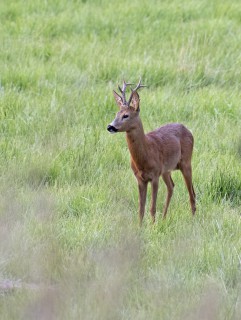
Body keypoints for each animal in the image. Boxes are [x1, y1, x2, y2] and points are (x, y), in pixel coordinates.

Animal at [107, 79, 196, 225]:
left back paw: (193, 220)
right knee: (171, 186)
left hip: (186, 162)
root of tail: (188, 130)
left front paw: (153, 226)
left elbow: (152, 207)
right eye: (116, 114)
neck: (144, 156)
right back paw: (164, 218)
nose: (110, 126)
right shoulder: (140, 178)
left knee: (192, 193)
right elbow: (141, 209)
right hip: (166, 170)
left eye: (126, 115)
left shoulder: (154, 175)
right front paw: (140, 227)